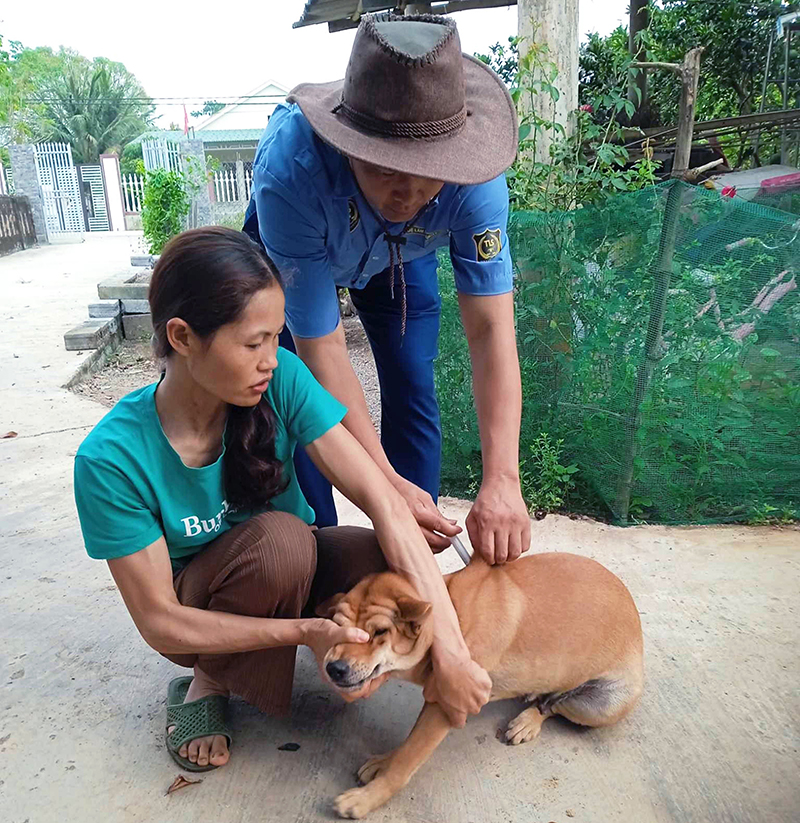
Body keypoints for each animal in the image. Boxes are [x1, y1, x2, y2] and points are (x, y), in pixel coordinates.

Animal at [318, 552, 644, 816]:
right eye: (339, 627)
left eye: (380, 632)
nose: (333, 668)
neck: (451, 620)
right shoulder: (438, 696)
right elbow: (408, 743)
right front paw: (384, 761)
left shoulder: (447, 706)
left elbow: (407, 761)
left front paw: (366, 799)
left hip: (605, 705)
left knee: (555, 704)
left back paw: (529, 721)